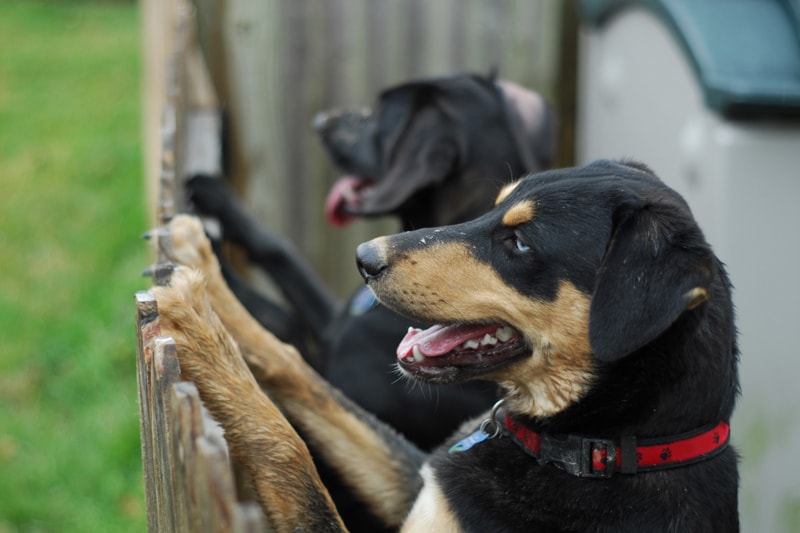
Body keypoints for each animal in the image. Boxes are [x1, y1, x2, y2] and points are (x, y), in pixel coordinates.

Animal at [159, 159, 740, 532]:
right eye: (493, 208)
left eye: (518, 242)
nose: (364, 258)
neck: (604, 447)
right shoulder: (415, 484)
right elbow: (300, 371)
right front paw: (205, 272)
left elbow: (286, 449)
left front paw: (196, 322)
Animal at [186, 72, 556, 450]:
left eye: (380, 113)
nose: (320, 121)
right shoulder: (331, 324)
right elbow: (278, 251)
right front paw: (215, 197)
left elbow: (278, 324)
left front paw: (202, 250)